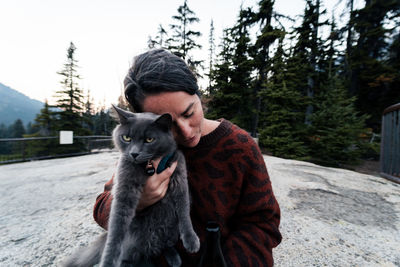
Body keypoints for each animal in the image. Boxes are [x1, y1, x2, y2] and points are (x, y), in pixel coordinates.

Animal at [64, 106, 200, 267]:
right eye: (126, 138)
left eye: (149, 139)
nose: (134, 153)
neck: (150, 166)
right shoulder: (125, 186)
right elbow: (116, 227)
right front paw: (108, 261)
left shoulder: (179, 177)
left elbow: (184, 211)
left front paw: (191, 240)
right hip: (131, 245)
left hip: (170, 231)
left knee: (166, 245)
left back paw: (174, 258)